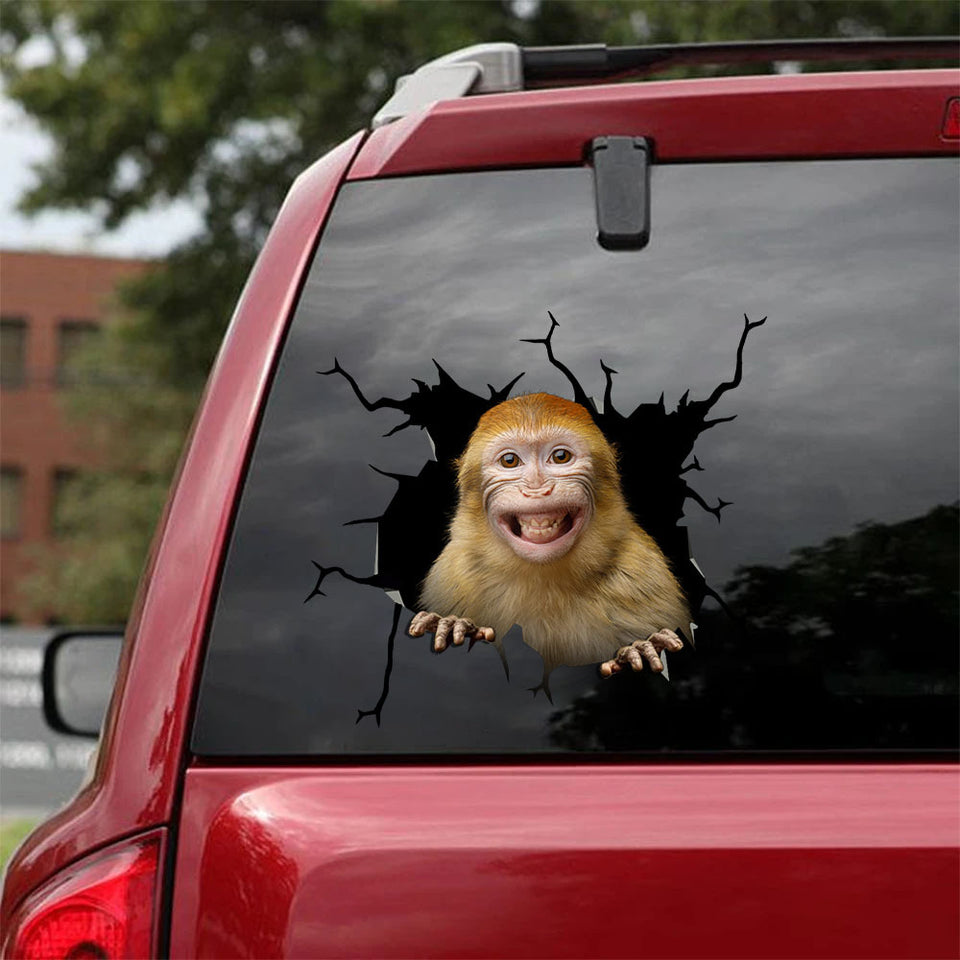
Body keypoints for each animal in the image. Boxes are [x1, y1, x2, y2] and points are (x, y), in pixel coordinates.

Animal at [408, 392, 690, 682]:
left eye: (560, 456)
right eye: (510, 461)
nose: (536, 488)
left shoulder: (644, 576)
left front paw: (641, 648)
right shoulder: (451, 575)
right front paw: (454, 624)